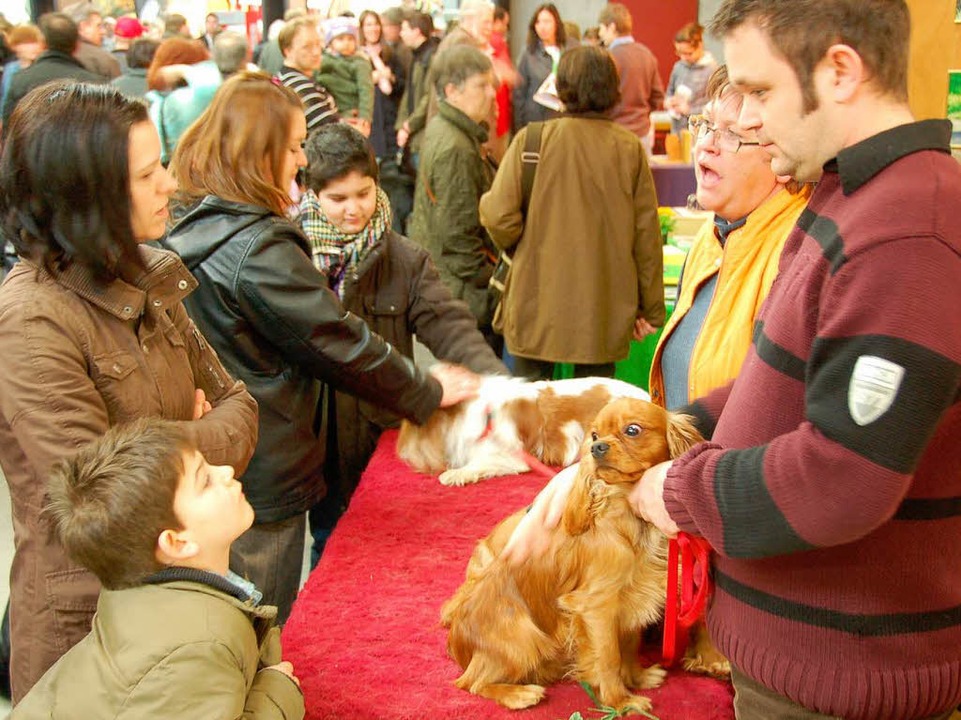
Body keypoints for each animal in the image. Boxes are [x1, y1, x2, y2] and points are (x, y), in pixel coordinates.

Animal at [438, 400, 700, 716]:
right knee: (471, 682)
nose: (596, 448)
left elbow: (629, 645)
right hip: (525, 637)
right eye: (595, 435)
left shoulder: (631, 600)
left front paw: (637, 678)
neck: (631, 520)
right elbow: (609, 657)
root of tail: (457, 640)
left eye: (632, 430)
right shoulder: (596, 606)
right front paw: (620, 701)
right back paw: (520, 694)